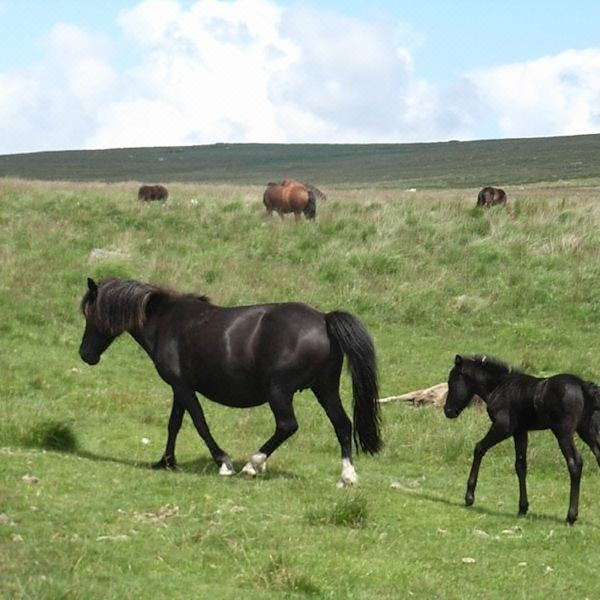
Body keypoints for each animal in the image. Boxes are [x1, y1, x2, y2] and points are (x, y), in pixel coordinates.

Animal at [78, 278, 380, 486]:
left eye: (90, 314)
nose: (85, 355)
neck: (167, 321)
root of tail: (323, 319)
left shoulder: (183, 387)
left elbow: (199, 423)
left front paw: (223, 462)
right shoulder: (179, 388)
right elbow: (174, 423)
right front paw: (165, 461)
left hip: (279, 391)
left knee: (287, 426)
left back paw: (252, 465)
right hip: (324, 388)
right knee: (342, 425)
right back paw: (347, 477)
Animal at [442, 354, 600, 524]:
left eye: (451, 381)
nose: (448, 411)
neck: (499, 387)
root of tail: (583, 386)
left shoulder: (504, 427)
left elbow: (479, 448)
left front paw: (469, 497)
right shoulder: (520, 431)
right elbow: (520, 465)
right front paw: (522, 508)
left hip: (563, 432)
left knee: (575, 462)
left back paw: (571, 516)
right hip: (586, 430)